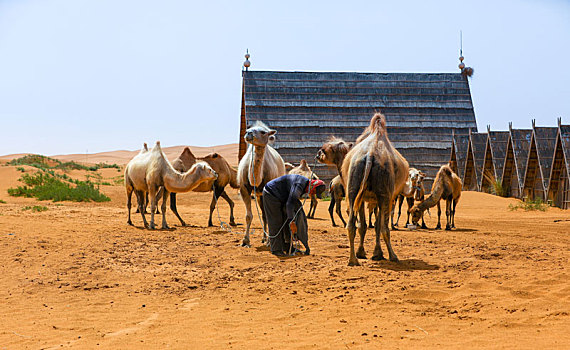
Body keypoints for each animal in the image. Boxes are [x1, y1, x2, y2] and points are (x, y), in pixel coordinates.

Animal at [340, 113, 406, 266]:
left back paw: (353, 260)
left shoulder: (362, 197)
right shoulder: (383, 198)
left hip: (353, 184)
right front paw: (377, 254)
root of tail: (370, 154)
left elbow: (364, 225)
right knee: (384, 227)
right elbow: (377, 225)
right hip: (385, 192)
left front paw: (363, 253)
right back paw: (393, 256)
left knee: (351, 224)